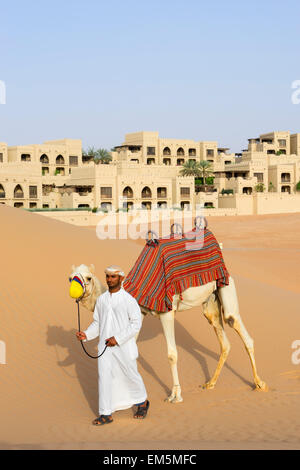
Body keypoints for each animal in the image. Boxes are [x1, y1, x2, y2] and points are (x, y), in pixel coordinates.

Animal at [69, 260, 268, 404]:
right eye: (70, 277)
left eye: (88, 278)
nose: (74, 292)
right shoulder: (139, 313)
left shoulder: (166, 313)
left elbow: (172, 355)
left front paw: (175, 396)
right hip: (210, 303)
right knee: (224, 341)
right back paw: (210, 383)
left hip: (227, 289)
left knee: (238, 326)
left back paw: (259, 384)